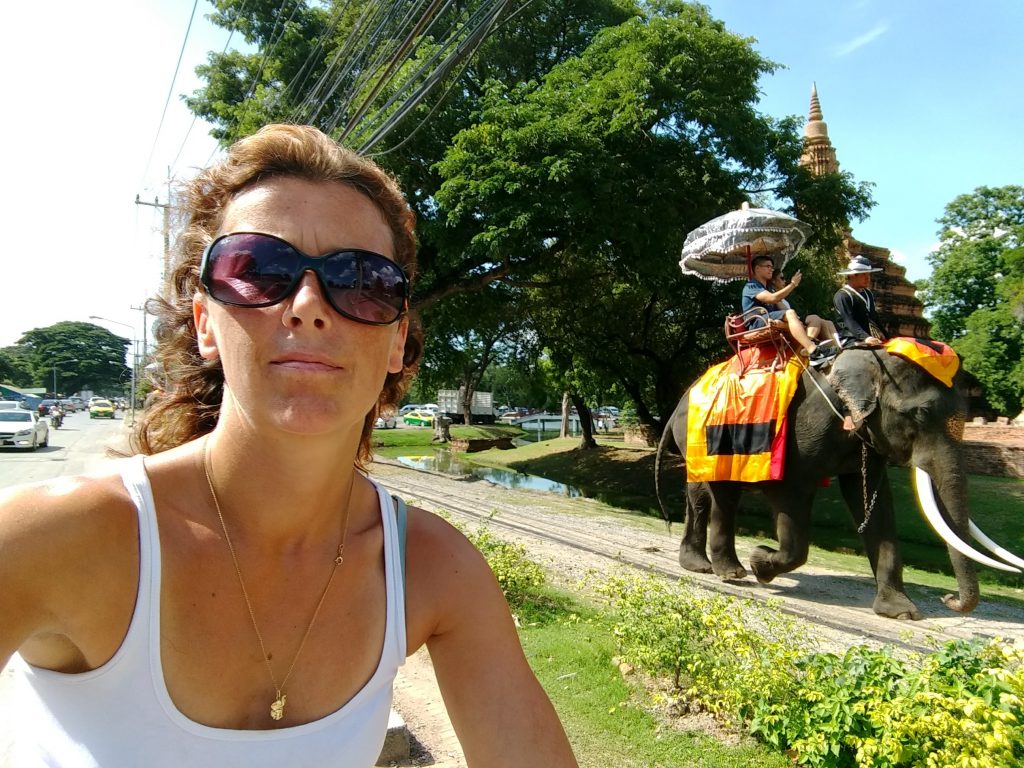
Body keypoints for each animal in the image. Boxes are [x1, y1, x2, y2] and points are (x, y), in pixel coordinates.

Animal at [655, 348, 1024, 618]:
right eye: (919, 414)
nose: (949, 599)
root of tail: (682, 399)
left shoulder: (868, 440)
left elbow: (876, 505)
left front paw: (901, 613)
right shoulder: (803, 432)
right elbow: (790, 499)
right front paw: (761, 562)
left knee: (703, 495)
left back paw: (700, 566)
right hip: (707, 436)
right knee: (723, 496)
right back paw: (731, 573)